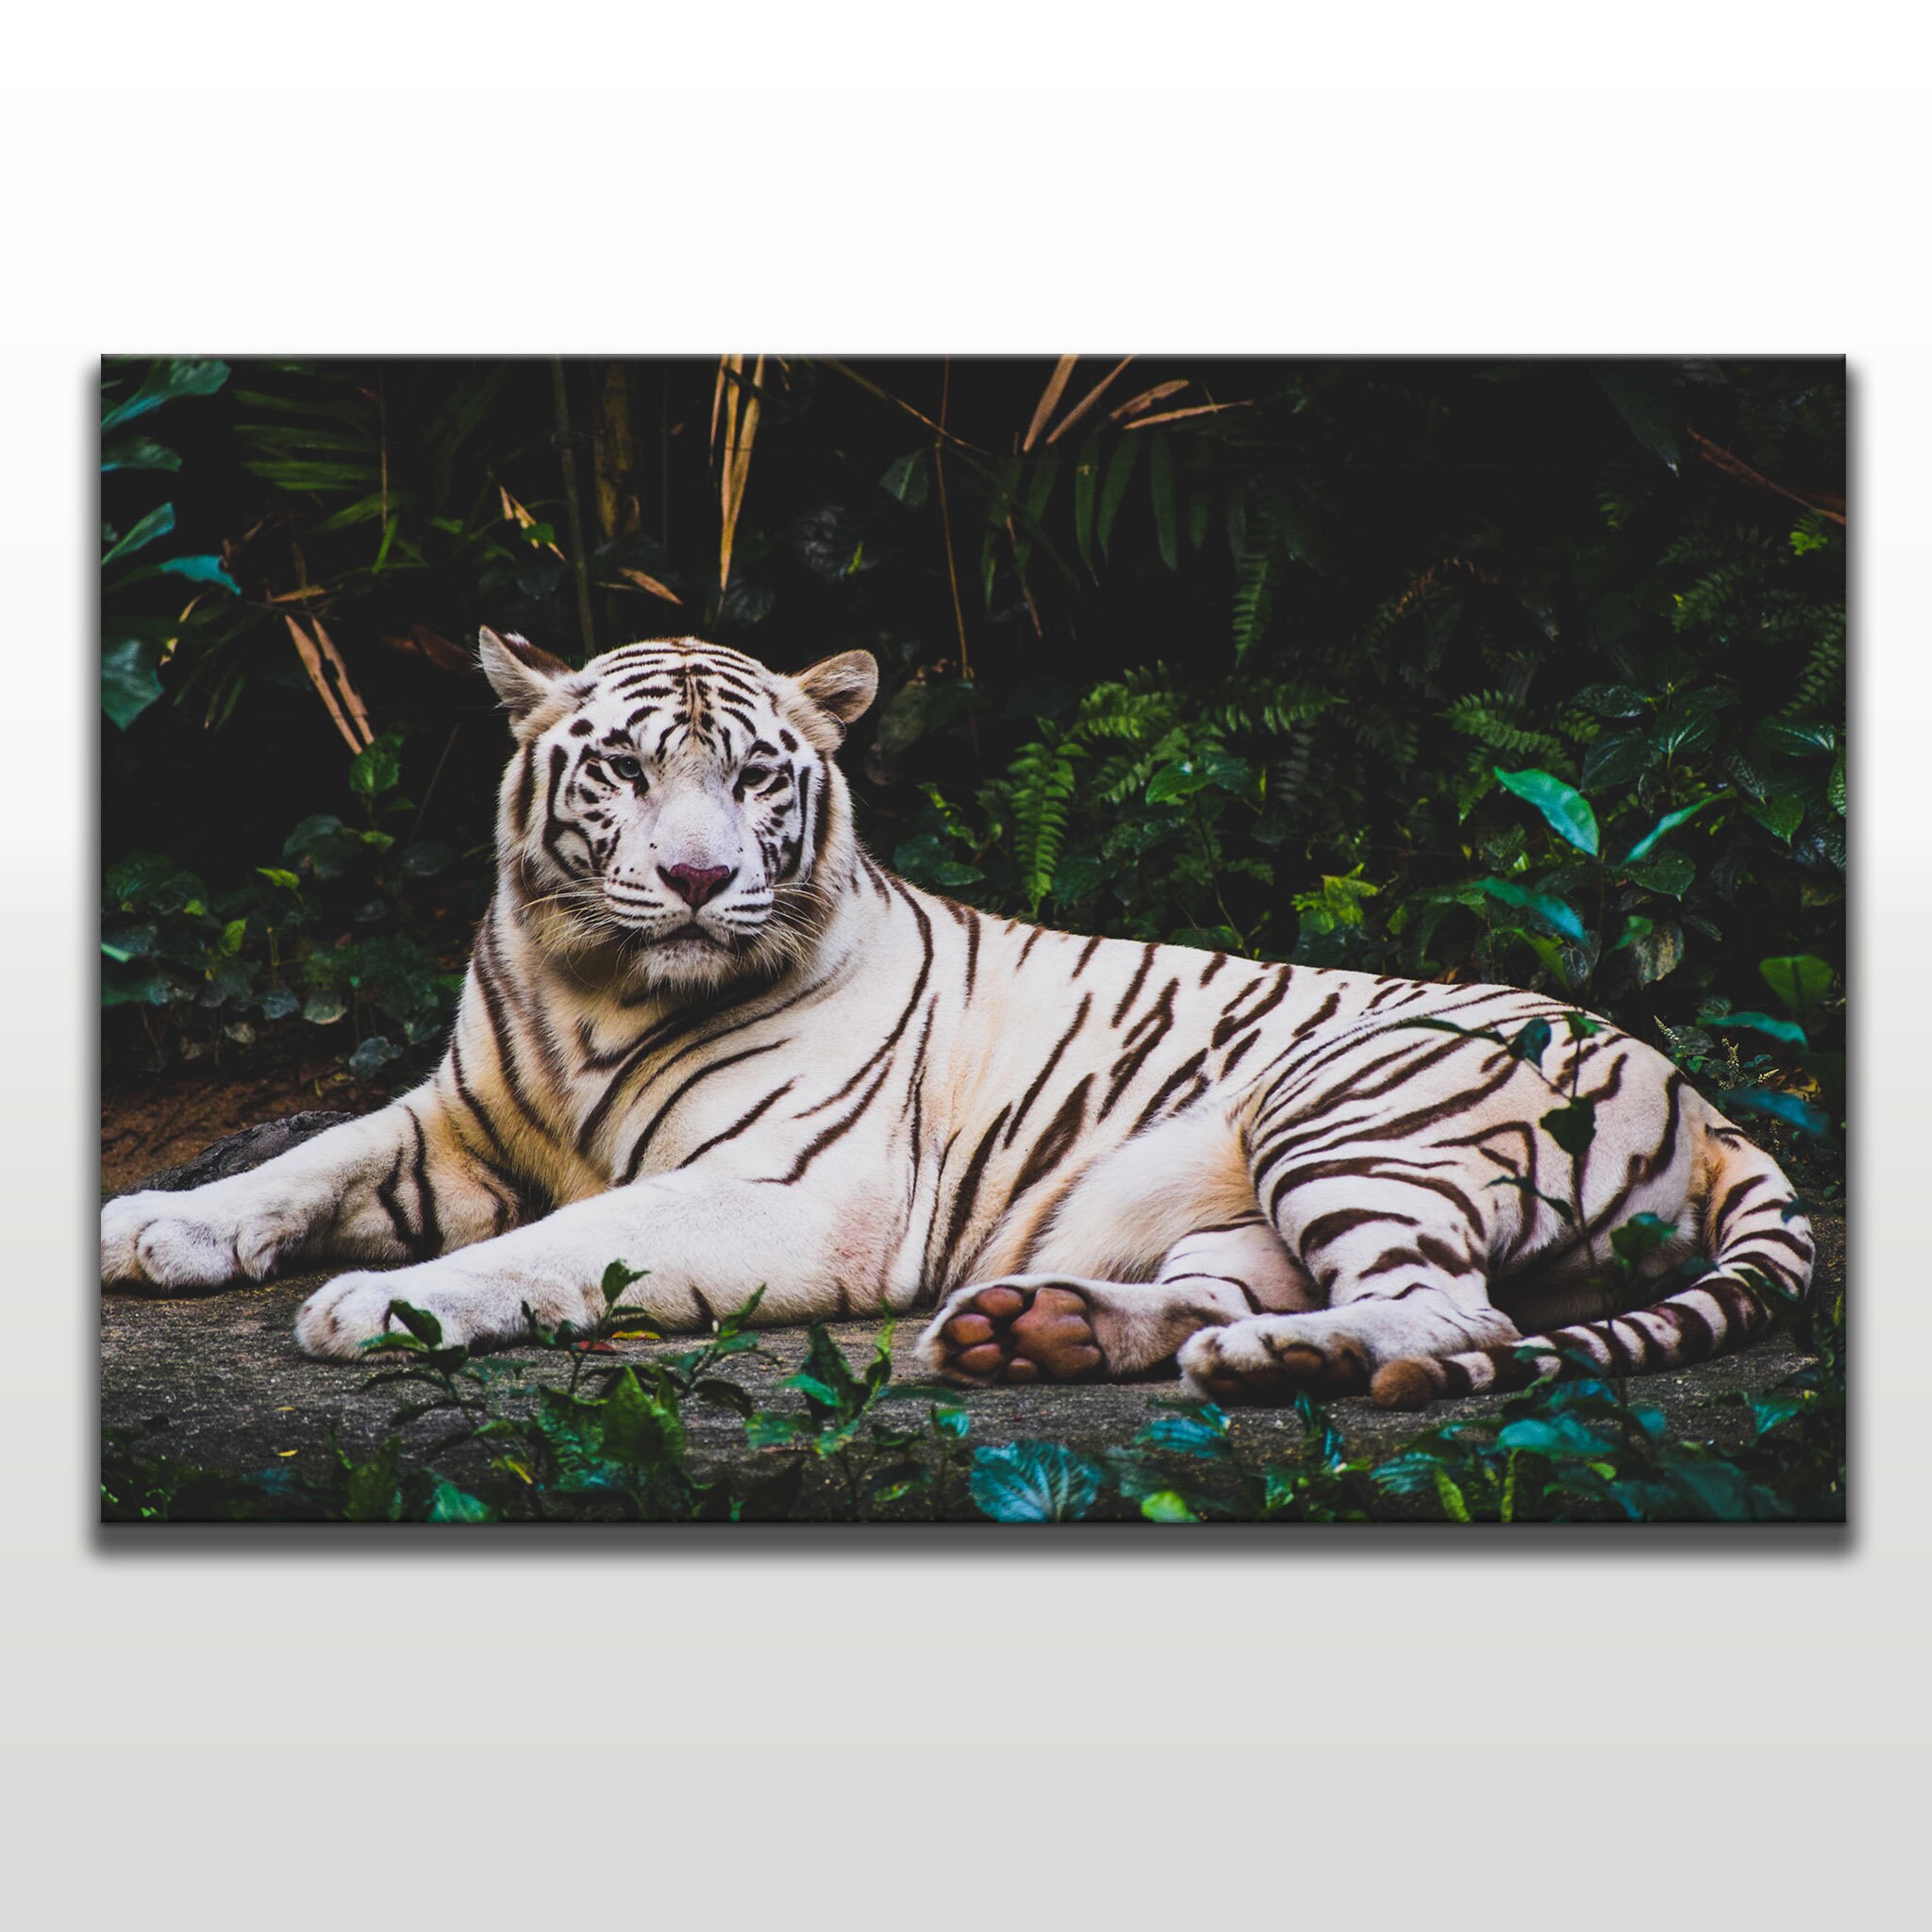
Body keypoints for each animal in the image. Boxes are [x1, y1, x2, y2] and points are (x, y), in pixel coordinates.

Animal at [100, 629, 1816, 1411]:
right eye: (627, 771)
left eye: (755, 776)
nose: (699, 877)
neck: (596, 987)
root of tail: (1706, 1098)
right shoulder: (458, 1114)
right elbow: (309, 1156)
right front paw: (154, 1225)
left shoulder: (791, 1193)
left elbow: (547, 1245)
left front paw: (381, 1307)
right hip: (1242, 1203)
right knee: (1247, 1288)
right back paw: (1040, 1328)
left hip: (1347, 1107)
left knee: (1455, 1314)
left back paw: (1275, 1364)